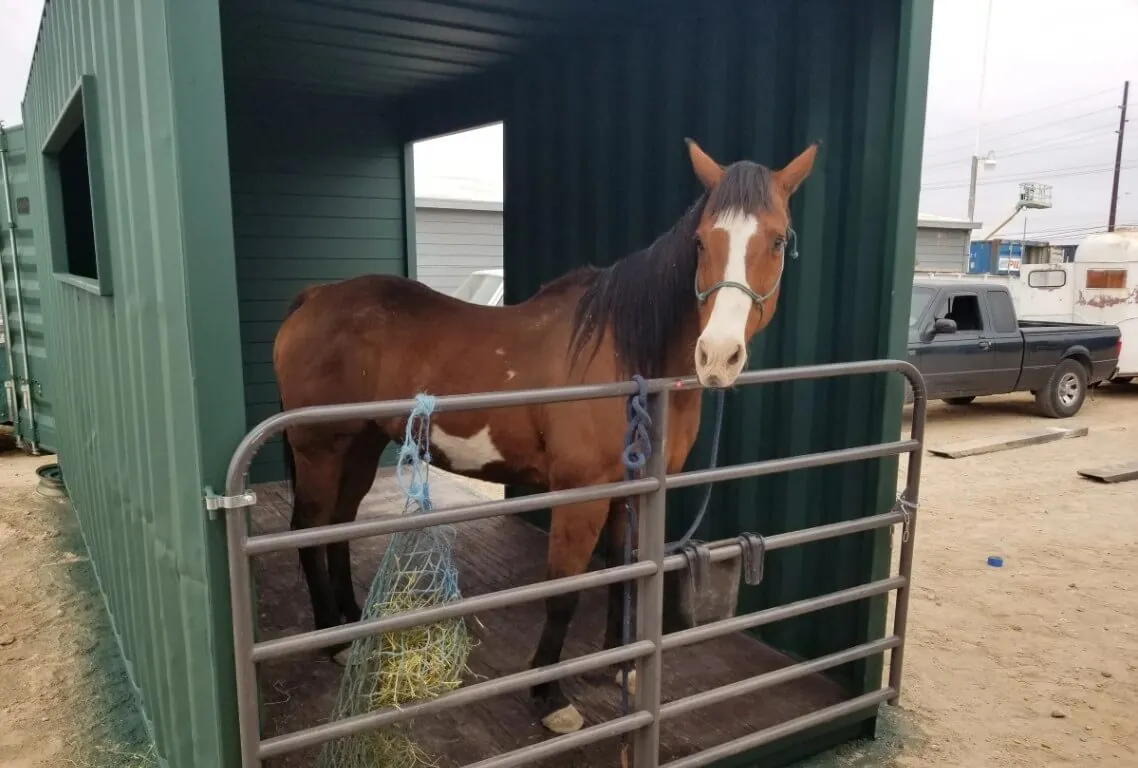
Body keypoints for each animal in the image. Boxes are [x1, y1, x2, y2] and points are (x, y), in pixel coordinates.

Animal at [270, 138, 814, 732]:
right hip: (321, 448)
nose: (717, 356)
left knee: (338, 527)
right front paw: (551, 696)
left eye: (778, 240)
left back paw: (351, 621)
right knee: (308, 527)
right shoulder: (580, 495)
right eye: (700, 241)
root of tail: (315, 298)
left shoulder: (629, 491)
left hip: (361, 444)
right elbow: (564, 591)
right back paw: (332, 638)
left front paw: (620, 664)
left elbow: (621, 573)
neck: (625, 353)